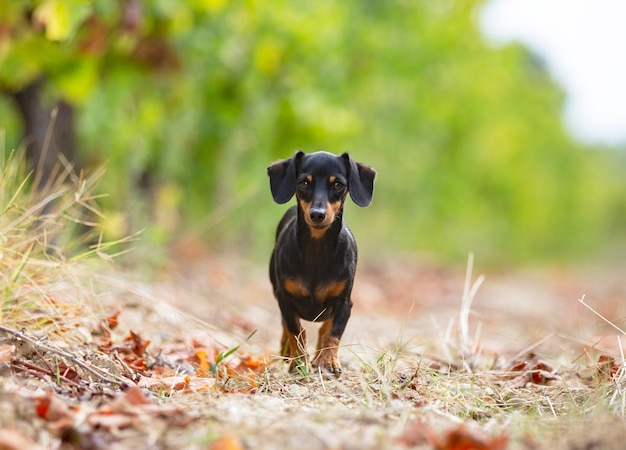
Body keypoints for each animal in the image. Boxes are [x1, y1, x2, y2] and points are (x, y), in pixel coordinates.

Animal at [266, 152, 372, 376]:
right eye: (304, 183)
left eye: (338, 184)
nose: (317, 214)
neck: (317, 250)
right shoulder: (284, 298)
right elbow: (295, 330)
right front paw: (298, 362)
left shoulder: (344, 303)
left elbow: (332, 332)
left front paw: (328, 361)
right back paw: (287, 351)